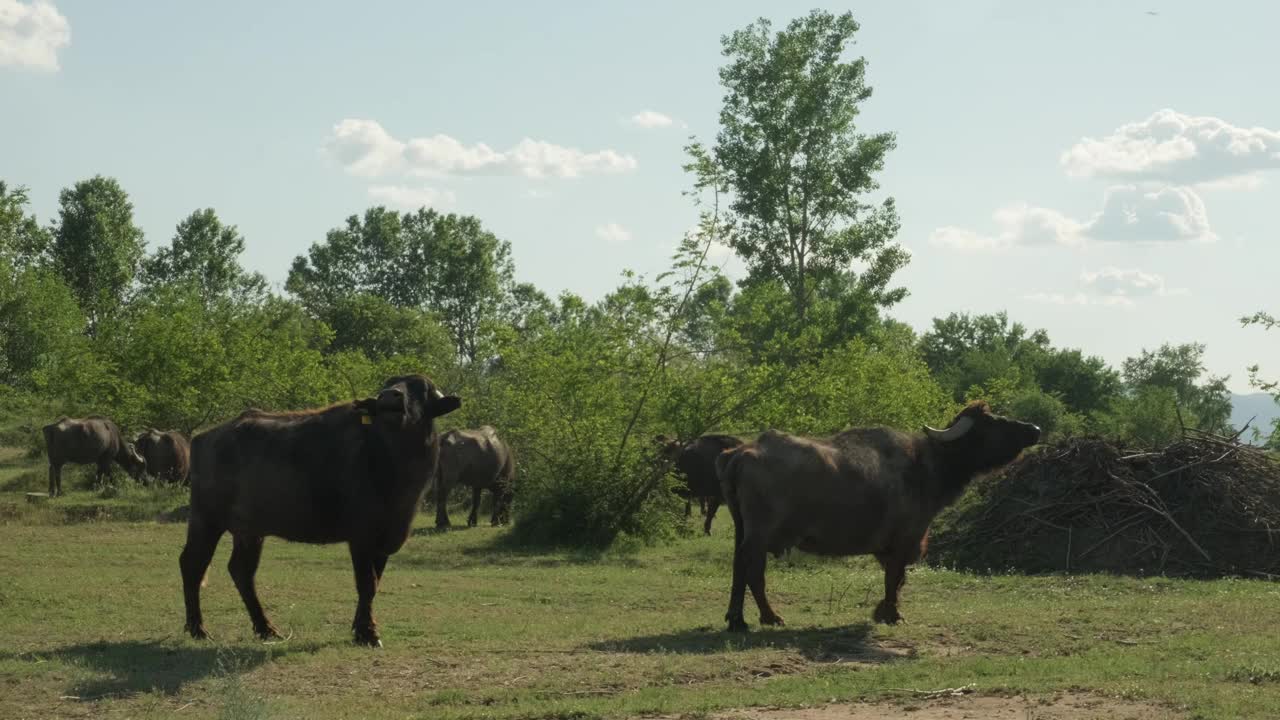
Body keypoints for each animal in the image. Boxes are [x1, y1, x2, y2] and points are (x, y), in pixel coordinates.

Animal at [177, 376, 463, 645]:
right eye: (389, 384)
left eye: (421, 388)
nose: (390, 397)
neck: (392, 460)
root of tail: (202, 438)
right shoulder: (361, 537)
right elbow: (366, 583)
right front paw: (368, 633)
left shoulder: (386, 538)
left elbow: (375, 582)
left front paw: (361, 627)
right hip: (206, 519)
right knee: (193, 563)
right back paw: (198, 628)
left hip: (249, 531)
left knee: (241, 571)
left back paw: (266, 628)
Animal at [721, 399, 1039, 630]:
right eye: (994, 422)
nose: (1034, 429)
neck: (923, 466)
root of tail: (743, 452)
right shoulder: (905, 540)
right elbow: (895, 577)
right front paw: (890, 613)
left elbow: (897, 579)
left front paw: (884, 610)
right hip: (760, 534)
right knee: (753, 570)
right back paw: (769, 616)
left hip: (741, 528)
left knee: (738, 566)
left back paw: (737, 620)